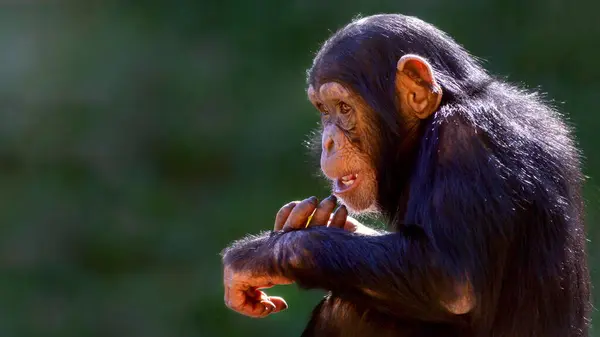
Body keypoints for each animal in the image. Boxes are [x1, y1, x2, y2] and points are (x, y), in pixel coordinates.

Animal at [220, 13, 592, 336]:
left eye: (343, 108)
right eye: (323, 110)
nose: (327, 140)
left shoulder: (463, 141)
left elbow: (452, 284)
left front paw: (261, 255)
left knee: (351, 309)